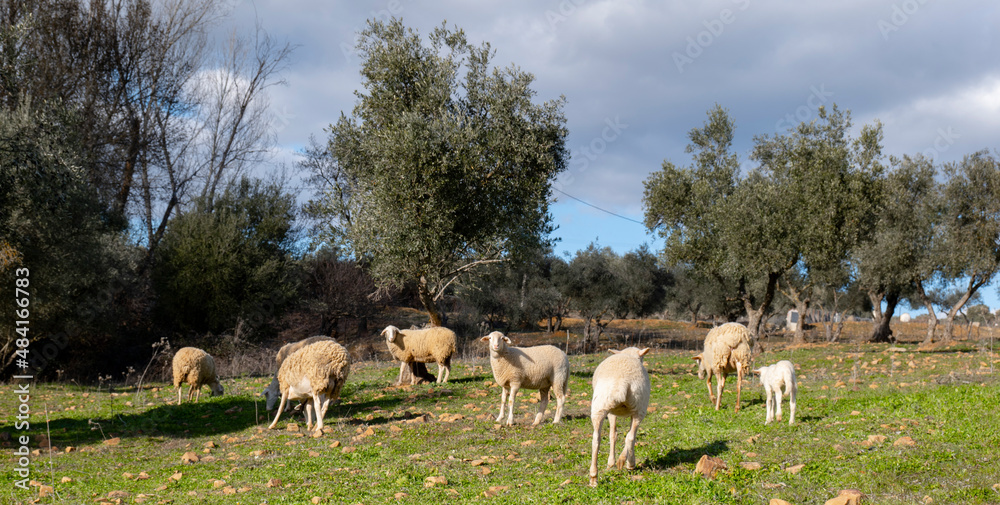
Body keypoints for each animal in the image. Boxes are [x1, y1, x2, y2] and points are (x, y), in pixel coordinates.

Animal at [589, 347, 651, 487]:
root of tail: (622, 382)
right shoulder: (615, 412)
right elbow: (617, 435)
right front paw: (616, 462)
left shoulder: (613, 412)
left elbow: (613, 435)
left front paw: (612, 462)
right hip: (639, 407)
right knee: (631, 437)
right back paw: (629, 464)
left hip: (600, 406)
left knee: (596, 440)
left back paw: (593, 478)